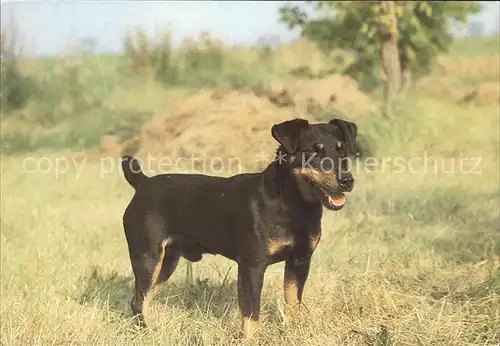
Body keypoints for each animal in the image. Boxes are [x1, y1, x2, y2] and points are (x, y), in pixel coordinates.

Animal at [119, 117, 358, 340]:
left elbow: (293, 303)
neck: (292, 204)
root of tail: (142, 183)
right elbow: (251, 312)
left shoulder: (299, 261)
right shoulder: (252, 266)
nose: (347, 180)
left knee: (145, 297)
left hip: (167, 262)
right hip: (148, 257)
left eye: (342, 150)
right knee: (137, 300)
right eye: (311, 152)